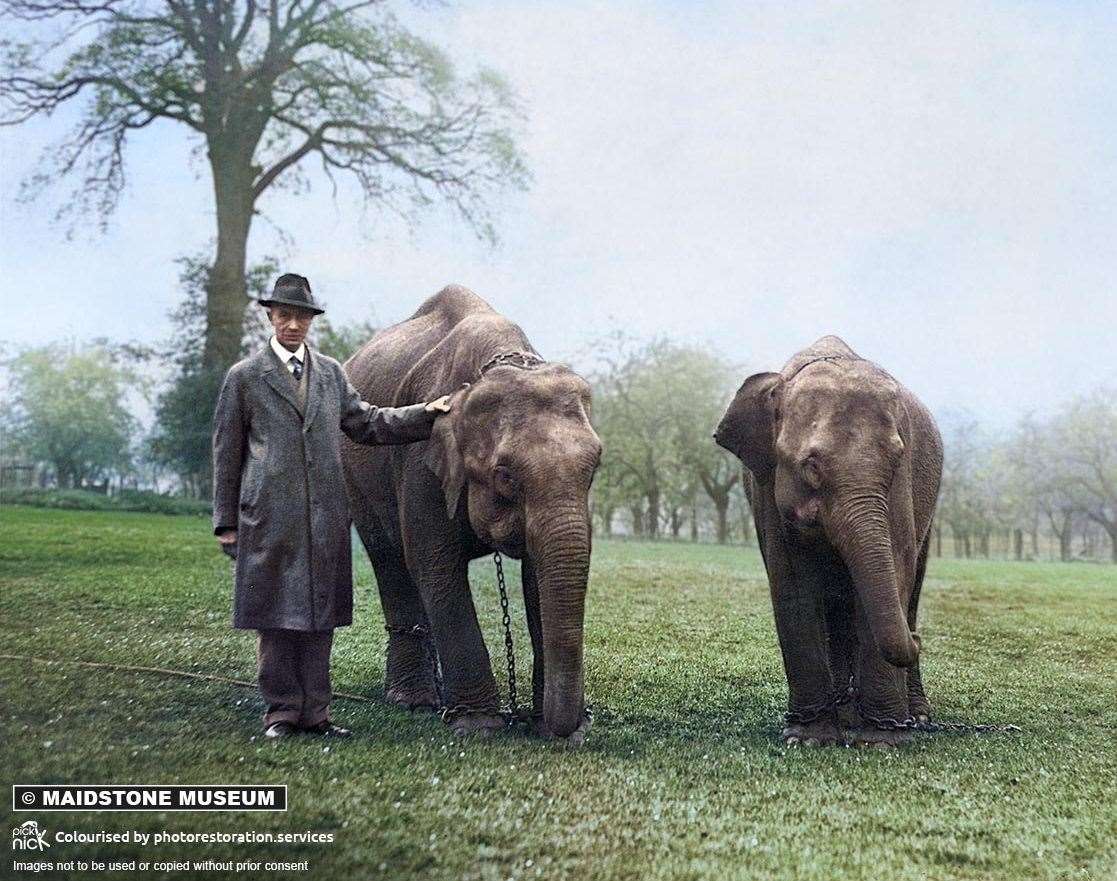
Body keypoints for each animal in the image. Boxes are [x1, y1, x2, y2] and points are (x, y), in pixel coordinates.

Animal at [339, 284, 603, 736]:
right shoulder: (420, 462)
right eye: (505, 475)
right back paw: (414, 702)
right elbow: (434, 562)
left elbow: (537, 575)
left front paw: (551, 727)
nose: (575, 724)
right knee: (389, 560)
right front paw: (478, 725)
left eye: (595, 467)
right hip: (356, 479)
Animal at [714, 334, 942, 741]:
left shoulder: (902, 483)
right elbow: (793, 585)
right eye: (811, 467)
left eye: (895, 461)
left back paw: (912, 717)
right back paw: (845, 712)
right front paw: (806, 738)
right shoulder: (767, 485)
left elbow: (896, 570)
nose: (918, 640)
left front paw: (882, 740)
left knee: (910, 590)